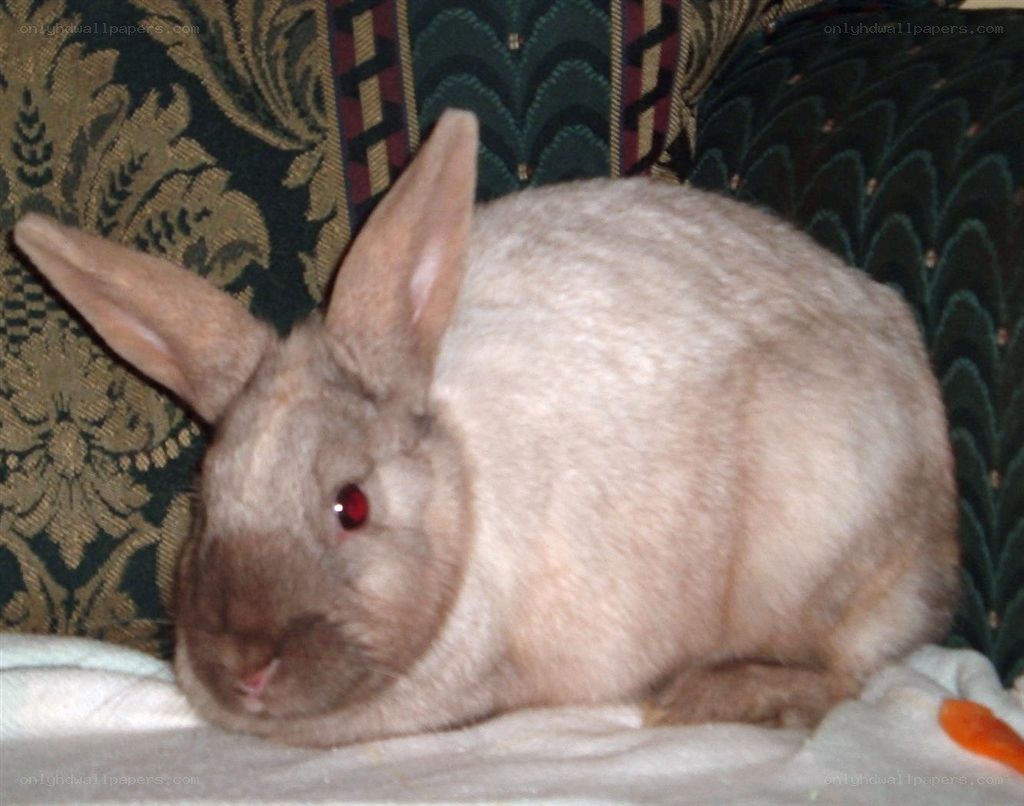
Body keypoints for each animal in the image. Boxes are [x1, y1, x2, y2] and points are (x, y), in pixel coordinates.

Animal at [12, 109, 960, 747]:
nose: (244, 667)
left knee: (847, 670)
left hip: (825, 533)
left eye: (351, 506)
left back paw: (707, 696)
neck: (460, 493)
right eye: (206, 503)